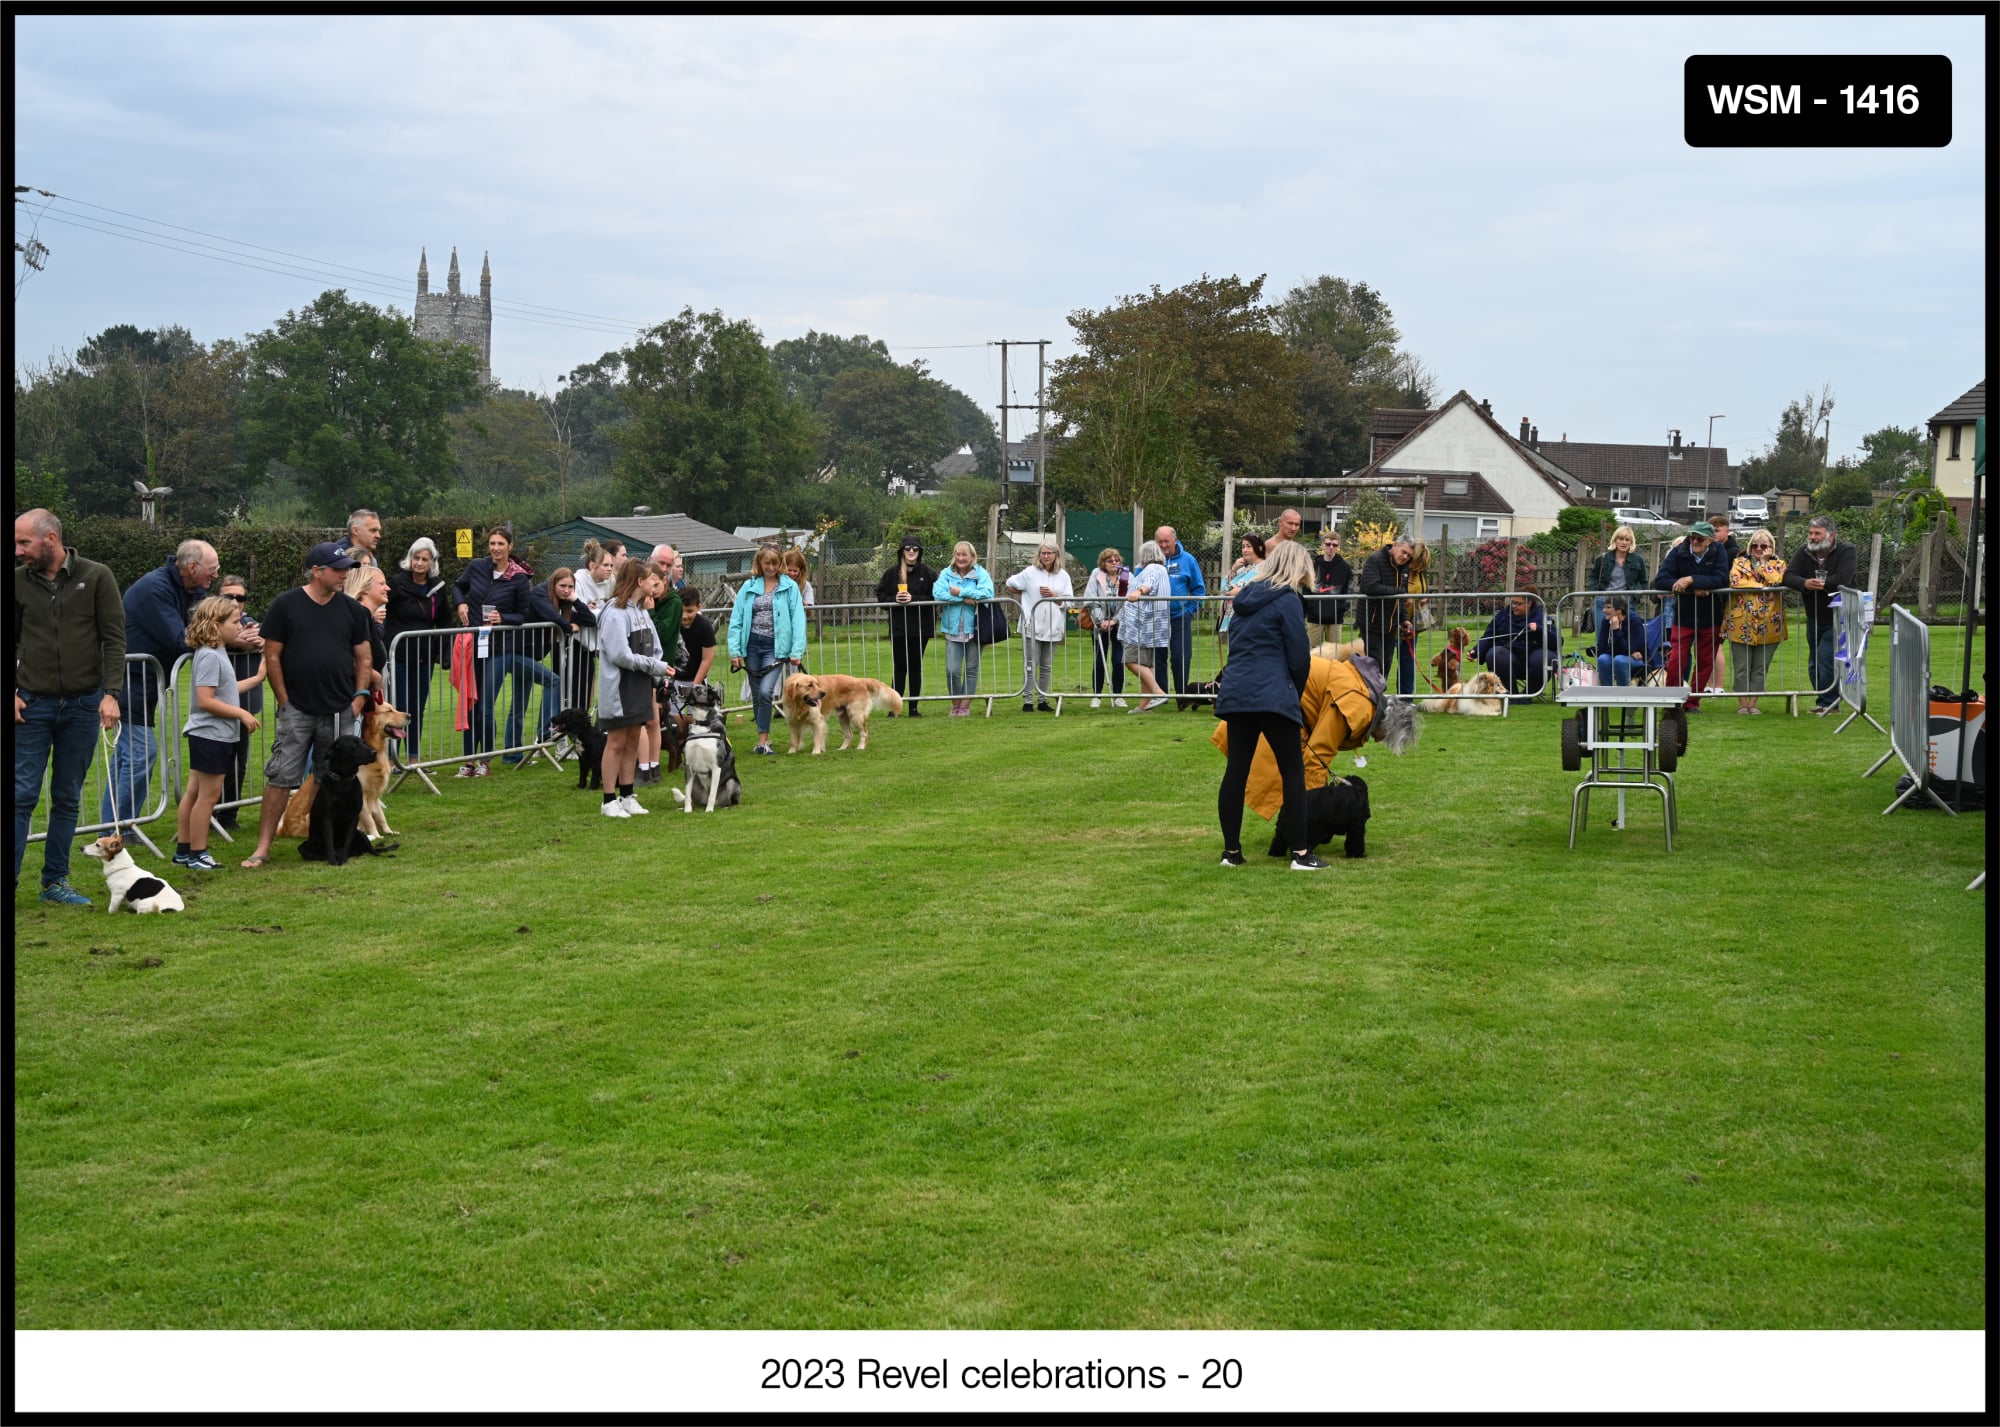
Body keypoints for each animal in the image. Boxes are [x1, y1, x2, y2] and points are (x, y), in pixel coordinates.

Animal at [672, 679, 744, 811]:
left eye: (698, 689)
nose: (679, 687)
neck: (703, 724)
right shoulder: (688, 766)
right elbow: (687, 795)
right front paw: (687, 811)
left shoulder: (716, 766)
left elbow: (712, 794)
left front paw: (709, 811)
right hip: (695, 780)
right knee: (691, 797)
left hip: (732, 783)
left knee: (727, 801)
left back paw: (723, 807)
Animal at [780, 671, 908, 755]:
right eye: (809, 685)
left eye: (816, 684)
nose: (823, 693)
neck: (799, 704)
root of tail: (860, 680)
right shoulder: (792, 722)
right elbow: (793, 740)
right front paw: (792, 751)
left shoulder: (817, 721)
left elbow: (816, 738)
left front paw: (816, 752)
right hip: (843, 716)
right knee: (849, 735)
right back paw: (842, 748)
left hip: (856, 715)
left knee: (864, 733)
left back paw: (861, 747)